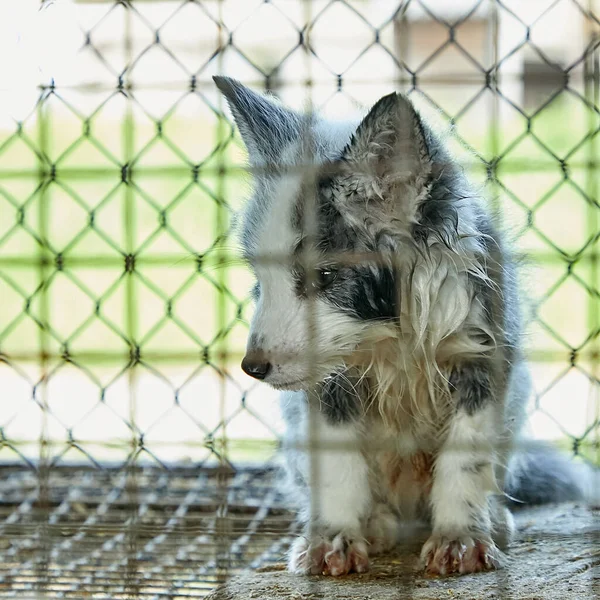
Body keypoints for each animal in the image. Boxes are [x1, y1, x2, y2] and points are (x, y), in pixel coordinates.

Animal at [213, 76, 588, 576]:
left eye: (322, 276)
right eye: (260, 280)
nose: (252, 368)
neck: (394, 339)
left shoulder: (484, 359)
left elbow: (465, 460)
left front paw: (460, 538)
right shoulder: (329, 386)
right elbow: (339, 465)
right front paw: (334, 537)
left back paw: (491, 519)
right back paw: (370, 523)